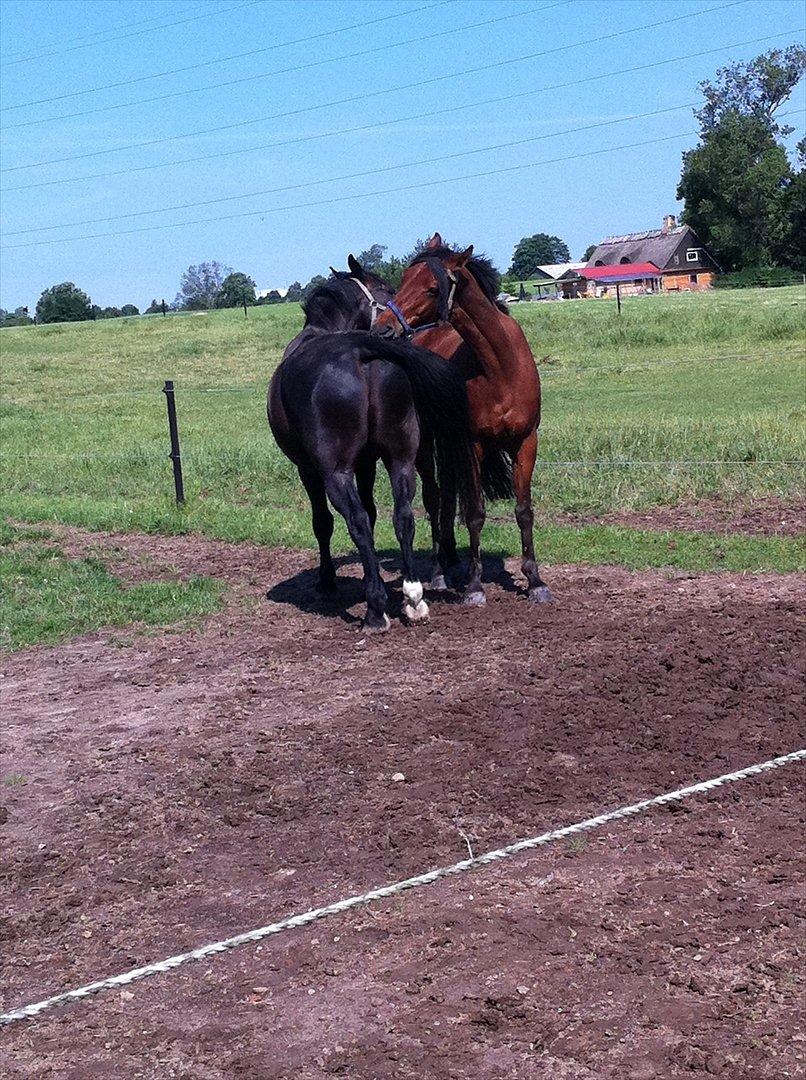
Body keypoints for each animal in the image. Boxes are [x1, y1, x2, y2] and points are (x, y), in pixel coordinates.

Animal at [266, 265, 473, 630]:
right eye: (389, 289)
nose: (391, 326)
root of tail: (361, 350)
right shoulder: (367, 464)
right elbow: (378, 514)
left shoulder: (309, 470)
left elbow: (325, 523)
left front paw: (328, 581)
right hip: (400, 459)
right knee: (403, 516)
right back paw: (413, 597)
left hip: (335, 474)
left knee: (357, 523)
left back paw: (376, 608)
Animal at [371, 235, 548, 604]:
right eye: (403, 280)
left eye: (431, 289)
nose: (382, 329)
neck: (501, 366)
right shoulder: (474, 444)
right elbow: (475, 513)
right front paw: (475, 585)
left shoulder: (526, 442)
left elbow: (524, 511)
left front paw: (535, 580)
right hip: (428, 444)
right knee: (434, 497)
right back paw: (439, 571)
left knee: (448, 493)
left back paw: (450, 559)